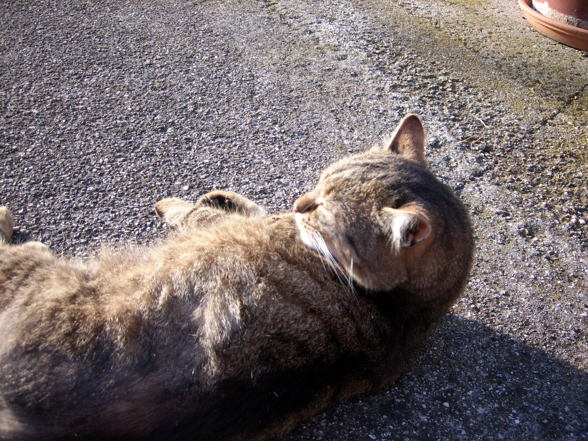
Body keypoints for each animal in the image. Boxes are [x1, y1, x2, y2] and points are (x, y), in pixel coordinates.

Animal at [0, 115, 470, 438]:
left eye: (323, 210)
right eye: (318, 185)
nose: (300, 203)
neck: (406, 308)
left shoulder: (227, 228)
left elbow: (197, 213)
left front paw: (181, 204)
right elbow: (250, 207)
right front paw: (228, 196)